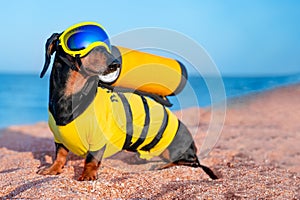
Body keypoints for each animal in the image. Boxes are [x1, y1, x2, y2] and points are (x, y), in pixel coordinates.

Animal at [37, 33, 217, 180]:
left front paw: (87, 174)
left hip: (175, 150)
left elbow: (91, 159)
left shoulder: (98, 139)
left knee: (188, 163)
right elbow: (60, 155)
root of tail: (192, 146)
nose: (115, 63)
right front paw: (52, 169)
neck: (70, 97)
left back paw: (161, 165)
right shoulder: (59, 138)